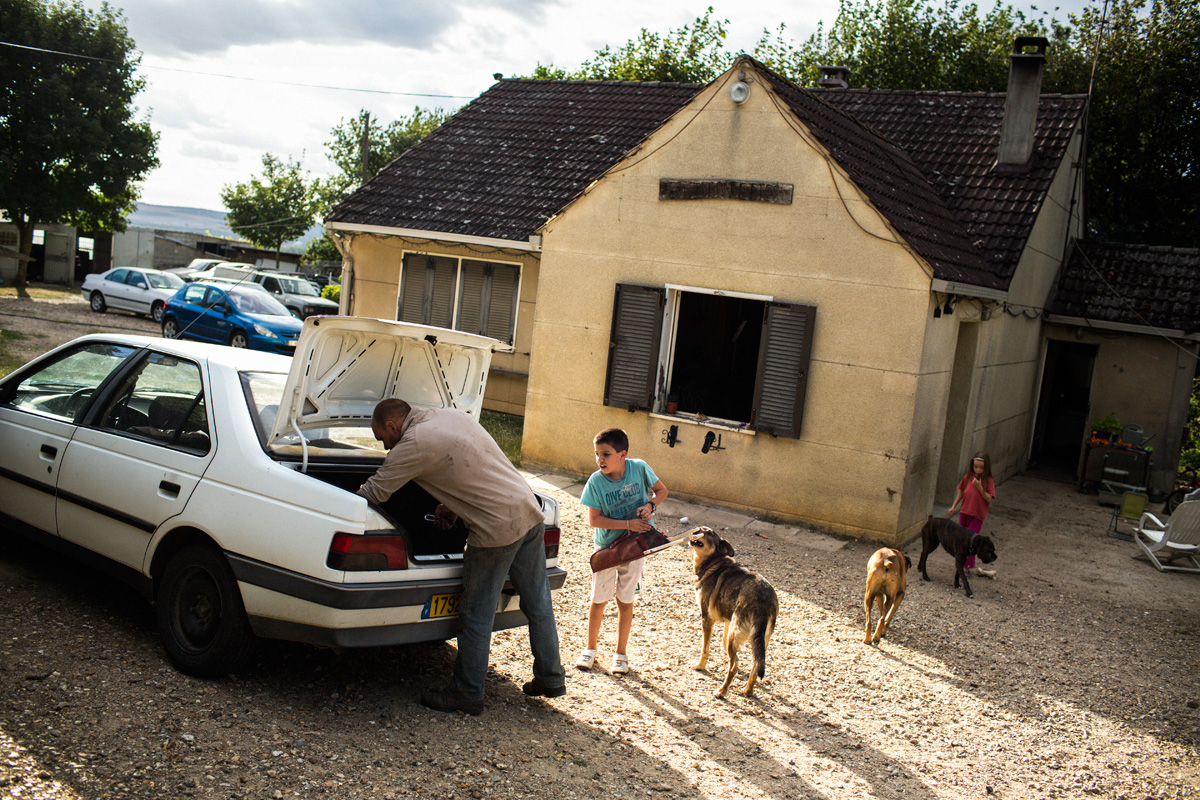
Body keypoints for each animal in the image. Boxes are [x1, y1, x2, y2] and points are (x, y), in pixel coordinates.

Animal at [691, 527, 782, 695]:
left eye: (709, 533)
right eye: (700, 529)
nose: (695, 530)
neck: (713, 562)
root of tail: (763, 604)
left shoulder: (707, 619)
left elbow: (705, 649)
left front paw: (700, 666)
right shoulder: (729, 620)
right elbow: (723, 642)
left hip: (735, 635)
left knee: (734, 667)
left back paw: (721, 691)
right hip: (759, 640)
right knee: (755, 666)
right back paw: (747, 690)